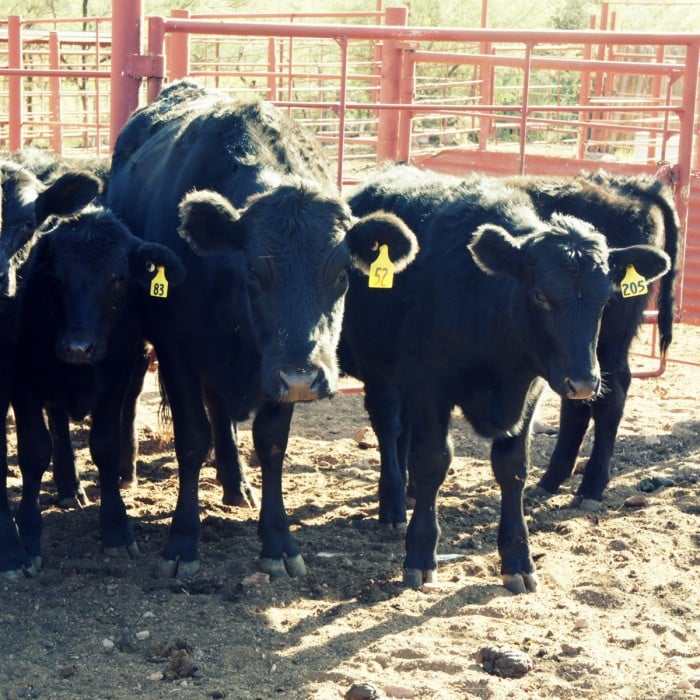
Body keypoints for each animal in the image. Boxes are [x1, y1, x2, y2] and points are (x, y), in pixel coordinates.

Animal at [0, 204, 185, 580]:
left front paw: (116, 529)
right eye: (56, 278)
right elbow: (34, 451)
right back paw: (69, 487)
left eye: (118, 277)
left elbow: (105, 446)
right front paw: (28, 535)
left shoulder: (117, 371)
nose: (78, 347)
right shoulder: (22, 378)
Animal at [104, 79, 416, 576]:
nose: (303, 377)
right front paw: (182, 542)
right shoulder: (177, 351)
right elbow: (191, 440)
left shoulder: (271, 373)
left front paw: (278, 543)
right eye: (254, 271)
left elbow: (270, 444)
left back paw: (236, 485)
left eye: (343, 274)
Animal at [506, 170, 680, 508]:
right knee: (580, 400)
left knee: (611, 395)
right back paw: (551, 480)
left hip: (610, 338)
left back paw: (591, 486)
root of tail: (628, 186)